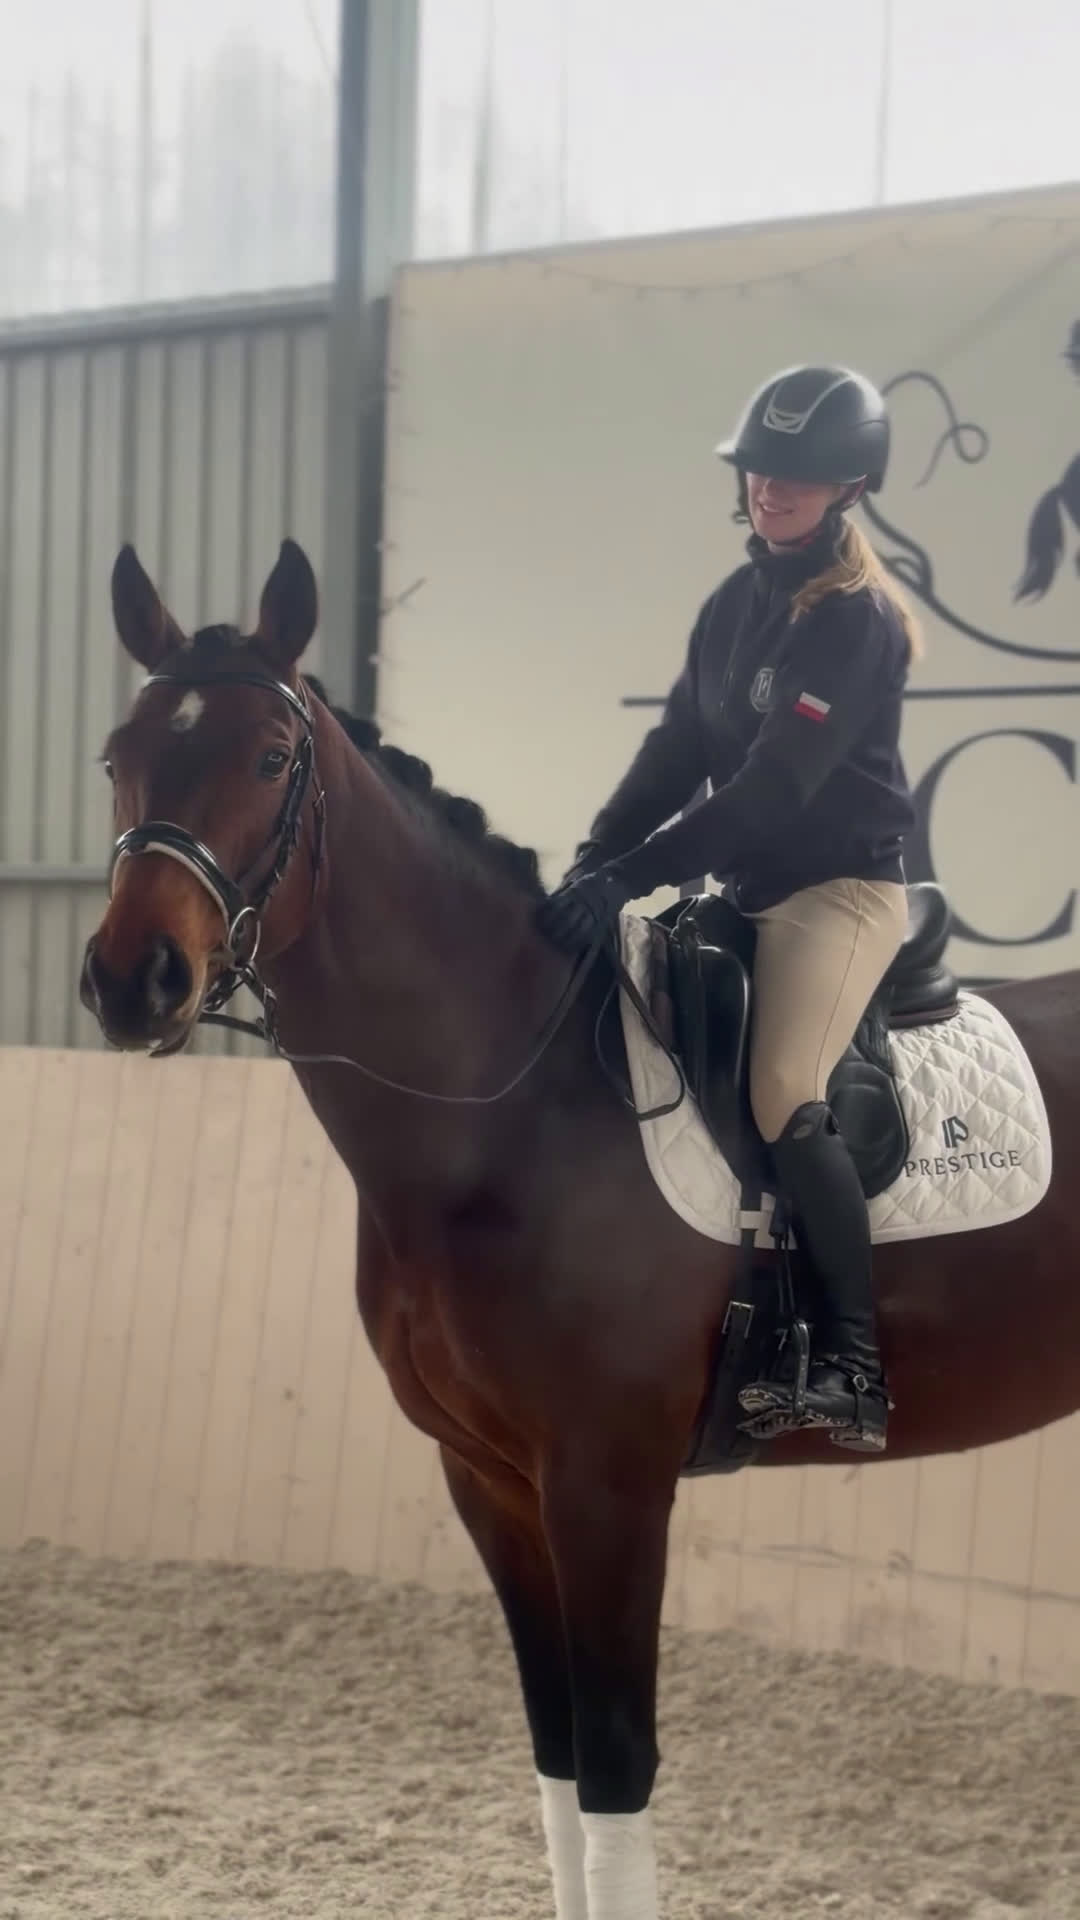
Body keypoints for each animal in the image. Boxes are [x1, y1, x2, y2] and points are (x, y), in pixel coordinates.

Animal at [79, 538, 1080, 1920]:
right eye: (117, 754)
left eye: (272, 760)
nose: (134, 983)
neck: (513, 1108)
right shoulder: (490, 1480)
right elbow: (556, 1764)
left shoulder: (608, 1484)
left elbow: (613, 1771)